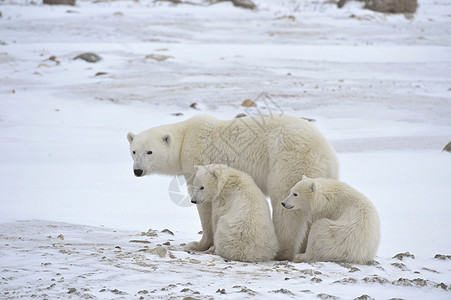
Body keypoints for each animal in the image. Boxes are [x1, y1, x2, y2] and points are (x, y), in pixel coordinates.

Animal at [127, 115, 340, 260]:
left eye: (149, 152)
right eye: (134, 151)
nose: (137, 170)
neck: (185, 137)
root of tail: (325, 154)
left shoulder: (198, 160)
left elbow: (206, 207)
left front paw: (198, 244)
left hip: (289, 161)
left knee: (287, 207)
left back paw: (282, 250)